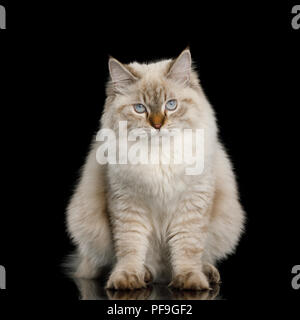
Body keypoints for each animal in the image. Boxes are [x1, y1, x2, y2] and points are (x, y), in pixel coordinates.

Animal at [67, 48, 245, 292]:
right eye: (140, 109)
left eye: (171, 105)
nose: (158, 125)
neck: (159, 157)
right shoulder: (128, 206)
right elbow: (131, 249)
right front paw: (127, 279)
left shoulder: (191, 206)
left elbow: (187, 249)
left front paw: (190, 280)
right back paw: (147, 275)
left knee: (195, 258)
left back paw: (207, 273)